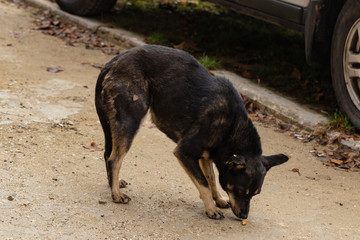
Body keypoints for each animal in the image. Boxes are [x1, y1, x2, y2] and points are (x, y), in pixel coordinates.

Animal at [94, 44, 288, 220]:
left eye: (255, 194)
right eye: (240, 191)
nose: (244, 216)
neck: (231, 127)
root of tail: (113, 62)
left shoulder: (205, 156)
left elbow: (211, 179)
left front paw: (218, 200)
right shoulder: (184, 152)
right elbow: (204, 184)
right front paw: (211, 209)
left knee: (108, 154)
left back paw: (113, 185)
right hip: (130, 122)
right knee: (114, 160)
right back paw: (116, 194)